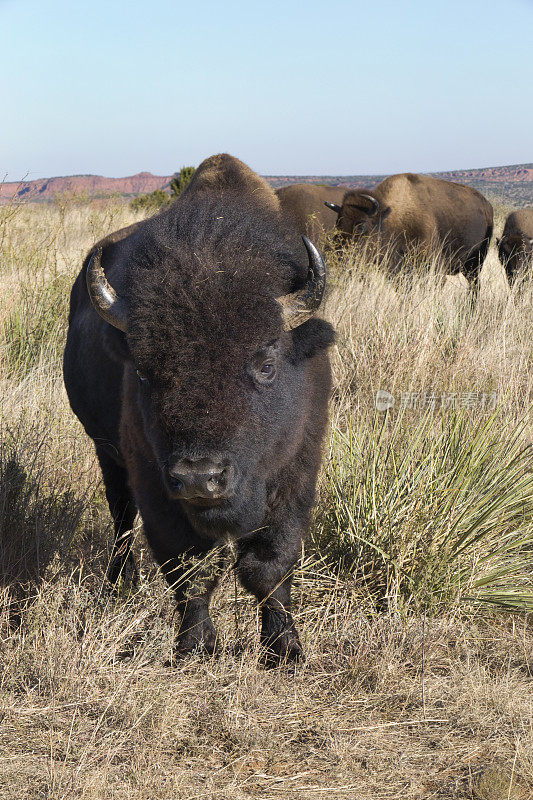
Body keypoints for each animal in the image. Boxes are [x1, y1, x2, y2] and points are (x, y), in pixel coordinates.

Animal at [326, 173, 492, 298]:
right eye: (338, 224)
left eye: (361, 226)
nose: (338, 256)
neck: (391, 218)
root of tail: (486, 205)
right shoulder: (397, 270)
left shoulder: (434, 268)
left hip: (475, 262)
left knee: (474, 286)